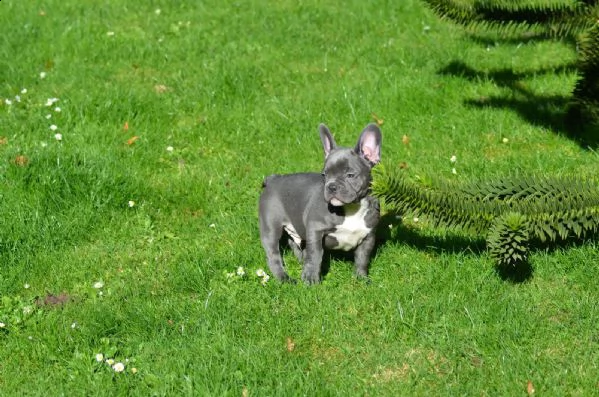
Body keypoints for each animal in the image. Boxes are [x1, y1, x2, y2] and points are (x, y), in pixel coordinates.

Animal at [258, 123, 382, 282]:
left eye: (350, 175)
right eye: (324, 175)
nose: (331, 186)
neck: (351, 208)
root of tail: (273, 179)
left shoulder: (368, 236)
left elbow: (362, 258)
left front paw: (361, 278)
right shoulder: (315, 230)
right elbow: (315, 255)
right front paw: (311, 279)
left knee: (294, 244)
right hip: (270, 228)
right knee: (273, 255)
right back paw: (284, 278)